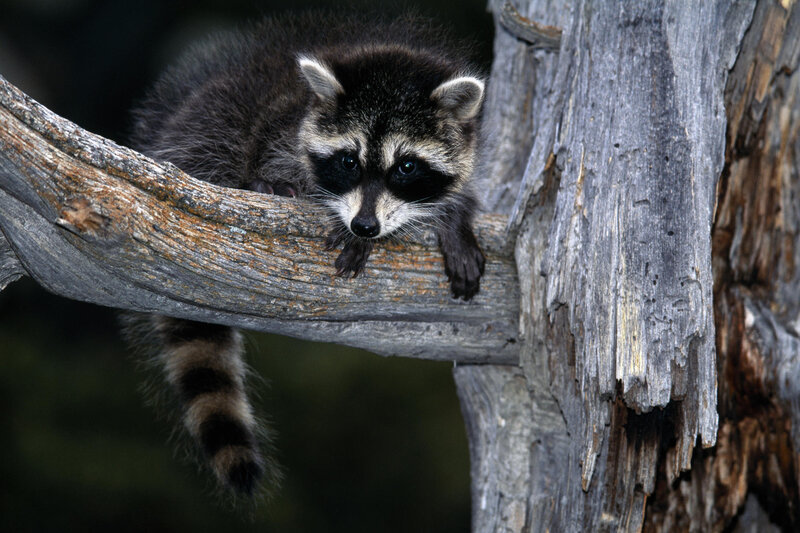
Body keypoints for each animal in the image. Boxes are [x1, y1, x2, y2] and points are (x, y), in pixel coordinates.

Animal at [126, 12, 486, 496]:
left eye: (406, 166)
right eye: (349, 161)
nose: (364, 226)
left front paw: (454, 216)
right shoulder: (280, 126)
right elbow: (274, 161)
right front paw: (335, 217)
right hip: (211, 124)